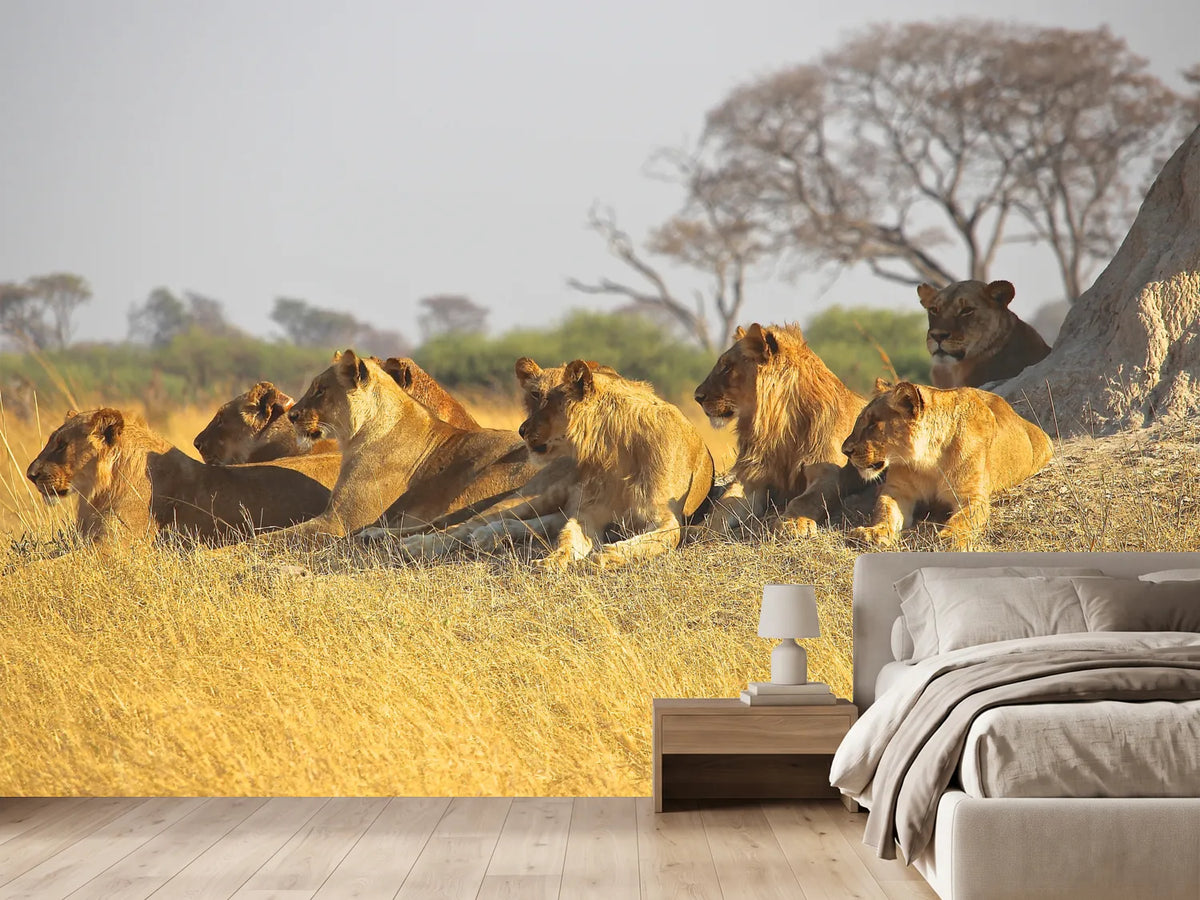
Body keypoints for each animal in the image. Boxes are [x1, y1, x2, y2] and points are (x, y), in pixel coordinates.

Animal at [262, 350, 541, 545]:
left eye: (320, 390)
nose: (292, 416)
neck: (356, 436)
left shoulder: (339, 521)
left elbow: (273, 537)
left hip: (481, 482)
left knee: (453, 525)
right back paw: (374, 535)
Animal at [520, 359, 714, 569]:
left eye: (549, 401)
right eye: (536, 395)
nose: (521, 430)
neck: (616, 449)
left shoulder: (665, 516)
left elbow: (649, 542)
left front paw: (603, 556)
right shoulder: (590, 511)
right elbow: (567, 537)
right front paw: (550, 560)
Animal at [693, 322, 867, 534]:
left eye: (727, 367)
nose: (697, 396)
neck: (779, 427)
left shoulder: (831, 473)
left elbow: (806, 500)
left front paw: (793, 523)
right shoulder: (752, 478)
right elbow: (723, 506)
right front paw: (700, 529)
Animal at [841, 380, 1053, 549]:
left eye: (873, 424)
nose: (845, 450)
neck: (928, 460)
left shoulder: (972, 496)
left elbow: (963, 519)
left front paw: (950, 537)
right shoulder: (897, 491)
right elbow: (884, 510)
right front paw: (873, 532)